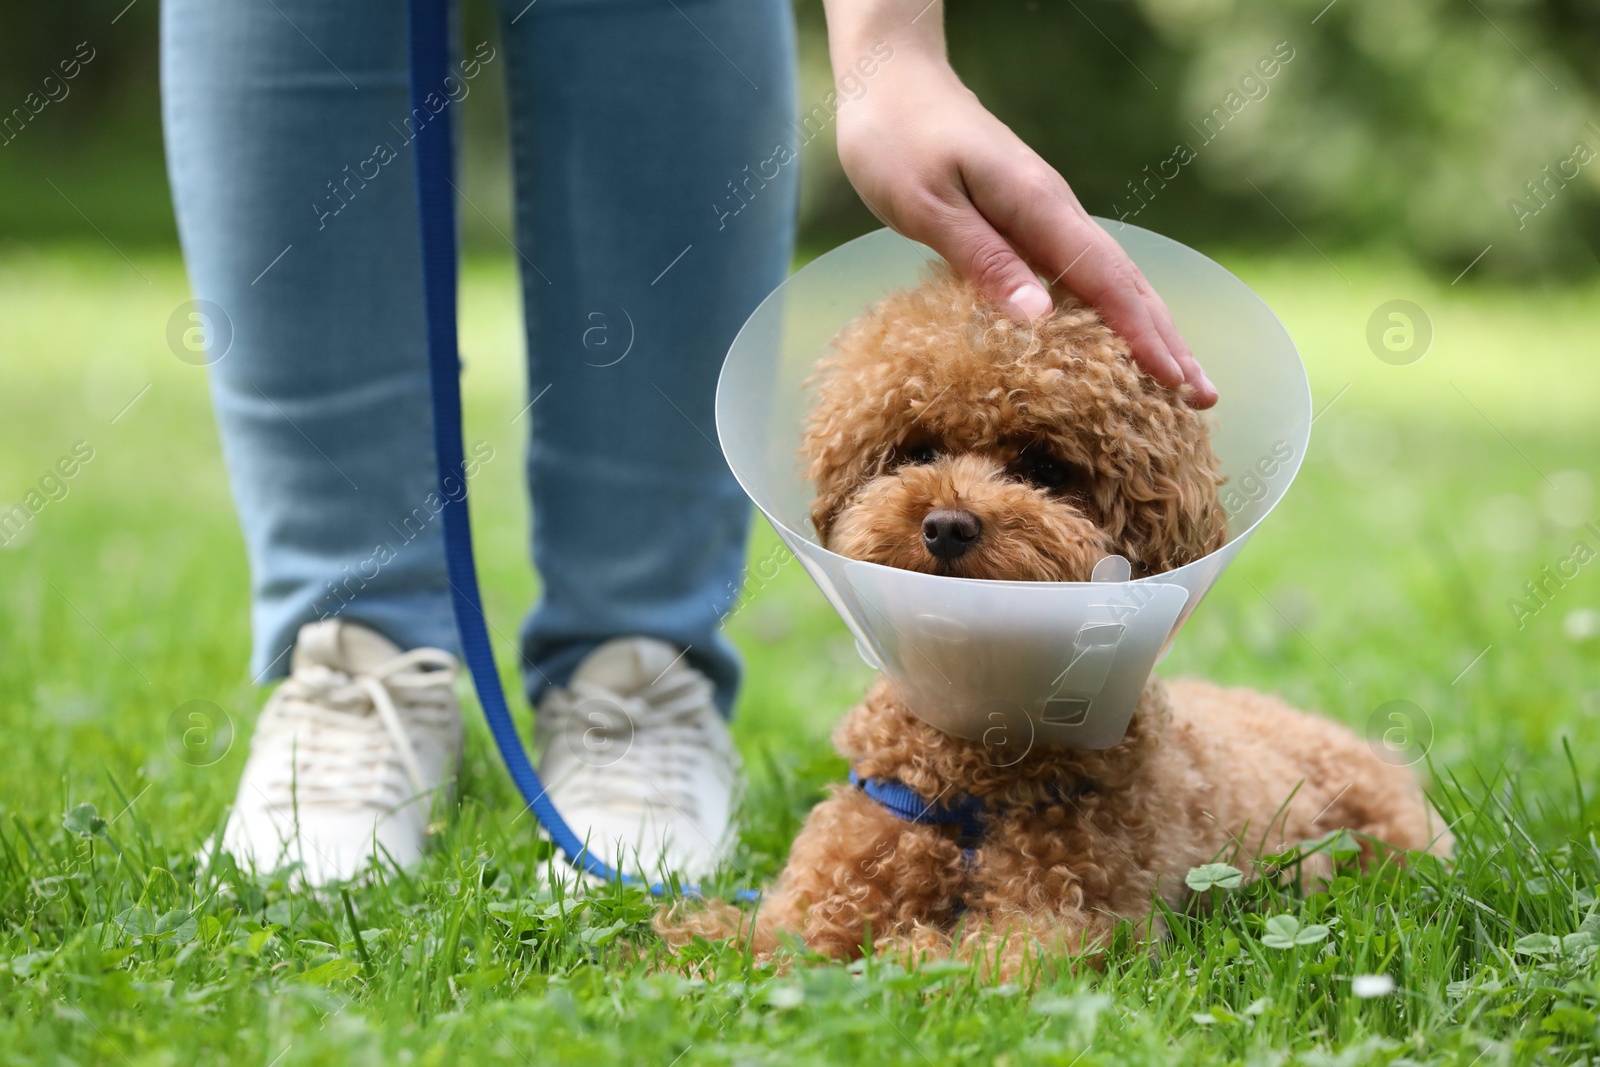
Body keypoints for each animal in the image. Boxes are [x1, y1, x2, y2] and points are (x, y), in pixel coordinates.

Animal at [662, 267, 1452, 979]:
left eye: (1044, 468)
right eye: (916, 451)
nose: (947, 525)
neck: (978, 772)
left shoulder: (1069, 918)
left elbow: (960, 963)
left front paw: (900, 957)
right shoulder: (822, 889)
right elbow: (745, 939)